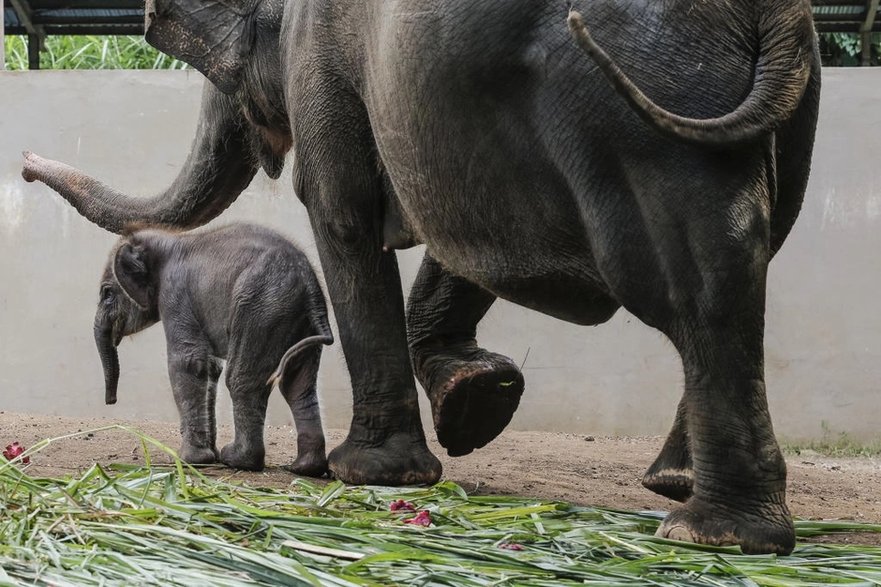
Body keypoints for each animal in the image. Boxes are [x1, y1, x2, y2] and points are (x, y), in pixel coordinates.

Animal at [93, 223, 334, 476]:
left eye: (107, 294)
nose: (111, 400)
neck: (169, 240)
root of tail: (311, 287)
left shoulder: (175, 295)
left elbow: (188, 362)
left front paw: (190, 460)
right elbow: (210, 368)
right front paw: (210, 455)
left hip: (262, 309)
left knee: (242, 379)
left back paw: (238, 459)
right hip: (296, 320)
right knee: (297, 384)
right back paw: (303, 468)